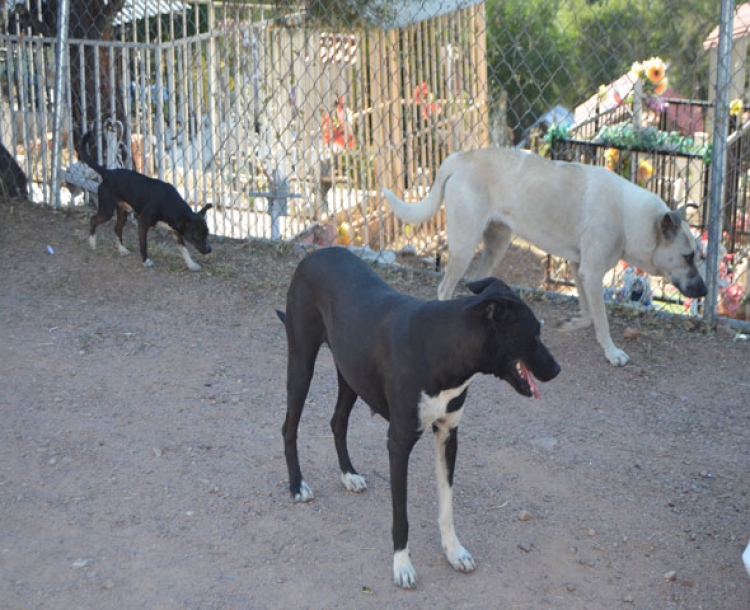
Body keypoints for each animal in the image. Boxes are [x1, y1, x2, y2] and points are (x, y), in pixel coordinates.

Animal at [79, 131, 213, 270]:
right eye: (197, 235)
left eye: (207, 233)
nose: (210, 250)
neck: (167, 202)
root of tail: (107, 172)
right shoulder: (143, 224)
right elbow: (143, 244)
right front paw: (146, 261)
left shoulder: (176, 230)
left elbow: (184, 249)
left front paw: (191, 264)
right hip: (107, 211)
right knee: (93, 219)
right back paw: (92, 242)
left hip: (122, 212)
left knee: (117, 229)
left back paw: (122, 249)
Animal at [276, 246, 560, 584]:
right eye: (535, 334)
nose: (557, 369)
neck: (442, 347)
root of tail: (316, 253)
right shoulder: (399, 443)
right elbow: (401, 514)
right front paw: (402, 565)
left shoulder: (448, 435)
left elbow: (447, 503)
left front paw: (454, 552)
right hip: (301, 361)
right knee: (289, 427)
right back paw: (297, 486)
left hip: (350, 373)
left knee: (338, 422)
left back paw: (348, 475)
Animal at [384, 147, 708, 366]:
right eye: (688, 256)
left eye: (697, 256)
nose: (704, 291)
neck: (630, 217)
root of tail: (462, 156)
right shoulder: (591, 274)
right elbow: (602, 321)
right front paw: (612, 352)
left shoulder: (580, 269)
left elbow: (589, 315)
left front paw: (573, 324)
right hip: (465, 244)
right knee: (444, 288)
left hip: (497, 243)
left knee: (476, 283)